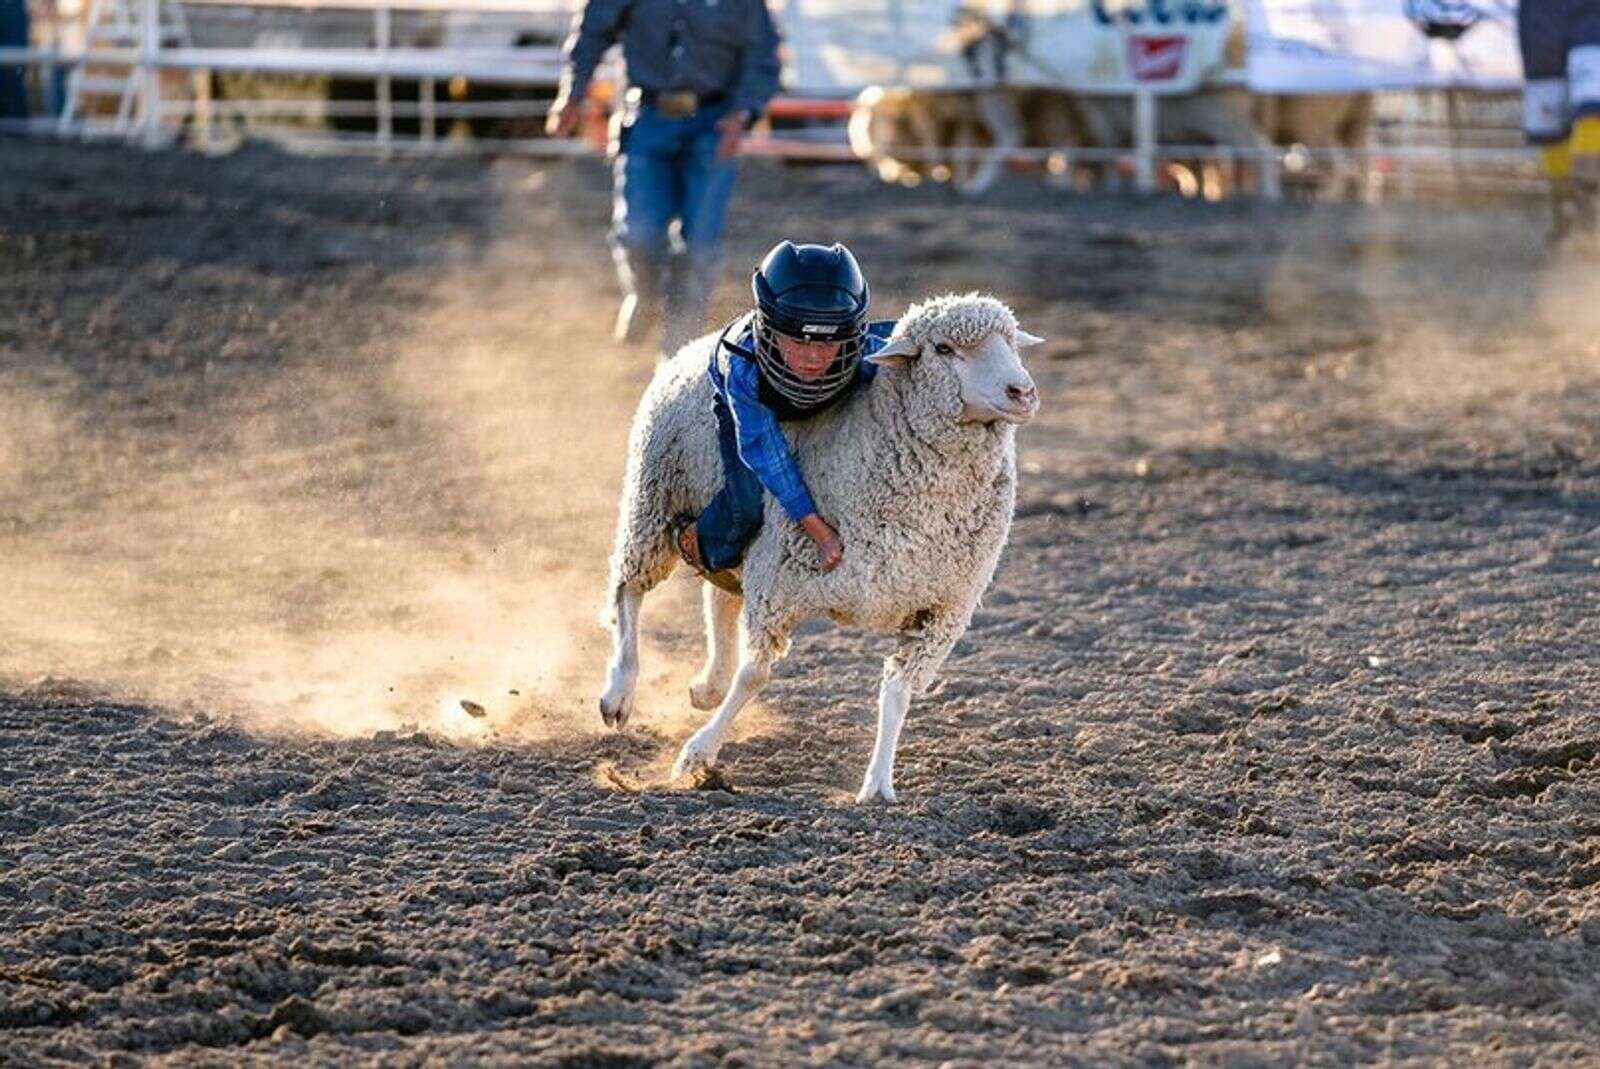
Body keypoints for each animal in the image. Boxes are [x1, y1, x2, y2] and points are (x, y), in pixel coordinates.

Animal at [595, 292, 1043, 800]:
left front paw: (878, 783)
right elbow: (755, 676)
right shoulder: (778, 583)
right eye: (944, 349)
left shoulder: (942, 614)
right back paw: (619, 691)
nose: (1023, 393)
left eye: (1011, 342)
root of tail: (693, 345)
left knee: (720, 594)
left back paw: (708, 684)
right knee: (629, 591)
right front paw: (697, 754)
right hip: (653, 501)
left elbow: (898, 693)